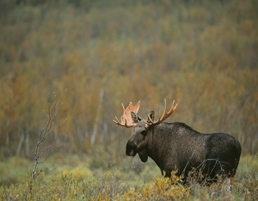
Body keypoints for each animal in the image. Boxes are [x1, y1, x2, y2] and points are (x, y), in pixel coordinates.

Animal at [113, 99, 242, 185]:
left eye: (144, 131)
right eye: (133, 130)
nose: (129, 148)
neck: (157, 152)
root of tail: (238, 146)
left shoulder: (172, 173)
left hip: (223, 174)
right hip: (230, 174)